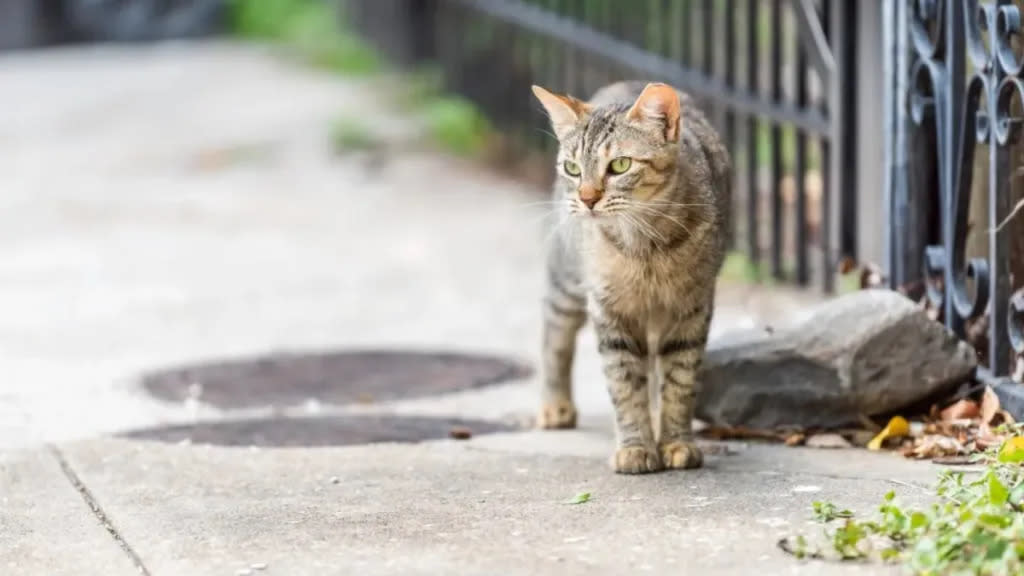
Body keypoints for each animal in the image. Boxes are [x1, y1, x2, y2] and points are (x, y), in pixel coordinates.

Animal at [532, 81, 733, 475]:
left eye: (620, 165)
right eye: (573, 168)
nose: (587, 198)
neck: (644, 248)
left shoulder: (692, 309)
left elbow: (679, 382)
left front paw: (675, 442)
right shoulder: (609, 310)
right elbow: (624, 383)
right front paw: (636, 446)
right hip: (568, 280)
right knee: (554, 332)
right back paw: (555, 404)